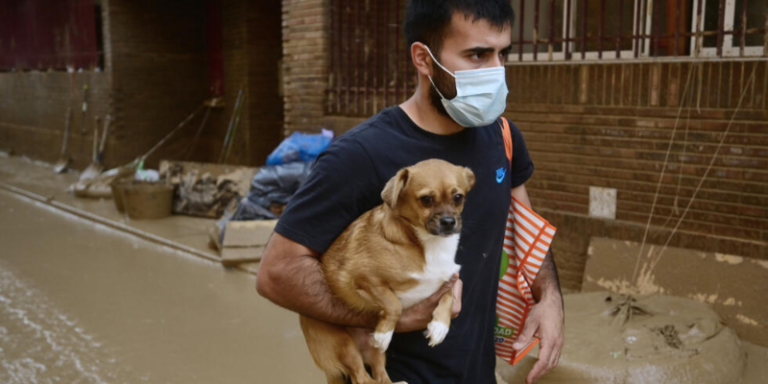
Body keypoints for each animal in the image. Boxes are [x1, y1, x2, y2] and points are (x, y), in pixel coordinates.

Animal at [298, 159, 474, 384]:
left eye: (458, 197)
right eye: (426, 200)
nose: (449, 222)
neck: (427, 245)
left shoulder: (450, 276)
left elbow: (449, 295)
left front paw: (440, 327)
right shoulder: (365, 279)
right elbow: (393, 304)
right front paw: (384, 332)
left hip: (376, 354)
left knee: (380, 374)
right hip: (343, 345)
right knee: (362, 378)